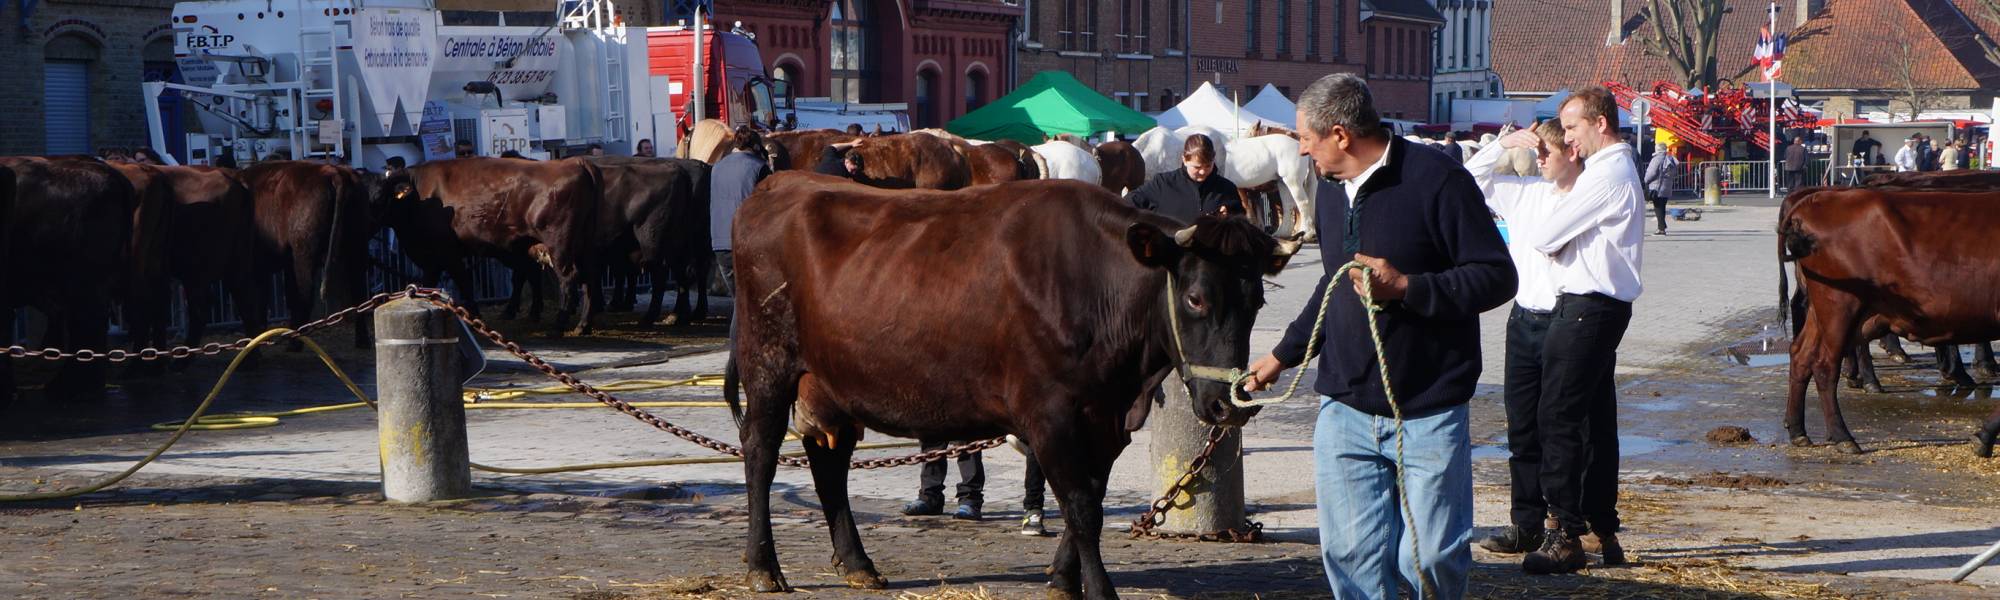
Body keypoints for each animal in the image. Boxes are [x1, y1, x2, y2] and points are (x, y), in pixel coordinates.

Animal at [240, 161, 376, 346]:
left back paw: (294, 342)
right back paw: (362, 340)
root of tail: (333, 171)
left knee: (306, 293)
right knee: (358, 292)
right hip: (356, 248)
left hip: (304, 255)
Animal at [376, 157, 600, 336]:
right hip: (584, 246)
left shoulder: (445, 254)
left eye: (379, 196)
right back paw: (583, 325)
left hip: (559, 246)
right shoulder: (435, 259)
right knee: (588, 279)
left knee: (568, 279)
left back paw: (558, 327)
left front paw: (475, 318)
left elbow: (463, 282)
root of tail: (575, 163)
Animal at [728, 172, 1304, 596]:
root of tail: (780, 182)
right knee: (760, 452)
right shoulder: (1051, 414)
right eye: (1195, 298)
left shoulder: (1106, 419)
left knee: (829, 461)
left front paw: (1062, 577)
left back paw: (857, 563)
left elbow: (1091, 499)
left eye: (1257, 300)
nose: (1228, 406)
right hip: (769, 363)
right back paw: (763, 568)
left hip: (832, 381)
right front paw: (1098, 589)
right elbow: (1080, 505)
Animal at [1784, 188, 2000, 454]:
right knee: (1824, 365)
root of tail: (1819, 198)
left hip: (1824, 311)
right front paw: (1984, 436)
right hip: (1839, 305)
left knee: (1801, 355)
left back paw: (1797, 431)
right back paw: (1843, 436)